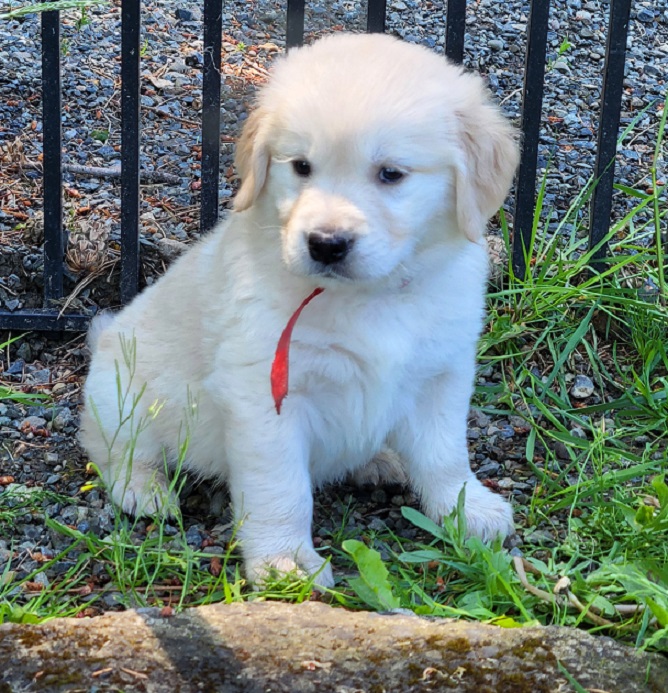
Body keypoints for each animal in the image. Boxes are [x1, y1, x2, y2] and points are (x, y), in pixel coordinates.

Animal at [78, 32, 516, 584]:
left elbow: (444, 455)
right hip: (121, 395)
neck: (370, 296)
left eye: (391, 174)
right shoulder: (265, 395)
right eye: (301, 166)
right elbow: (281, 488)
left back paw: (379, 460)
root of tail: (104, 337)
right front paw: (287, 563)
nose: (326, 244)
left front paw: (467, 509)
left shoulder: (441, 374)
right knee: (115, 449)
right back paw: (145, 491)